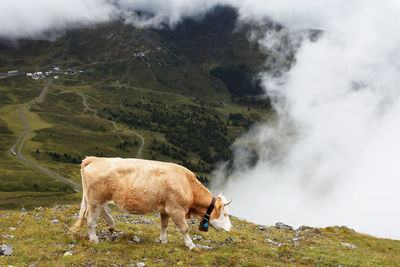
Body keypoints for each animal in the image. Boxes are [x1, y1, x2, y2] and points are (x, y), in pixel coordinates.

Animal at [72, 157, 231, 251]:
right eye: (225, 213)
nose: (230, 228)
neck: (188, 185)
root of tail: (94, 159)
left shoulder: (165, 209)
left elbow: (164, 225)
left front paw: (163, 240)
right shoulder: (176, 209)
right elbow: (184, 228)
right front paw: (192, 246)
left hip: (98, 199)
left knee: (100, 211)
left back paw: (111, 225)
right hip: (95, 200)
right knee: (90, 219)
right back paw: (94, 239)